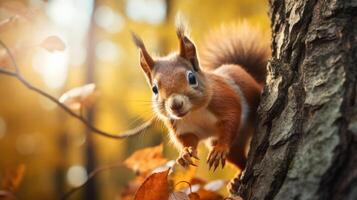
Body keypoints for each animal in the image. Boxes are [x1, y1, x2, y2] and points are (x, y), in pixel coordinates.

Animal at [132, 17, 268, 189]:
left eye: (191, 78)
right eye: (155, 89)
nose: (175, 105)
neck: (194, 113)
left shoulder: (224, 100)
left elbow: (231, 120)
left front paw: (219, 149)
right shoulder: (181, 126)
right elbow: (188, 139)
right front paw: (185, 153)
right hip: (235, 146)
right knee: (238, 159)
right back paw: (237, 179)